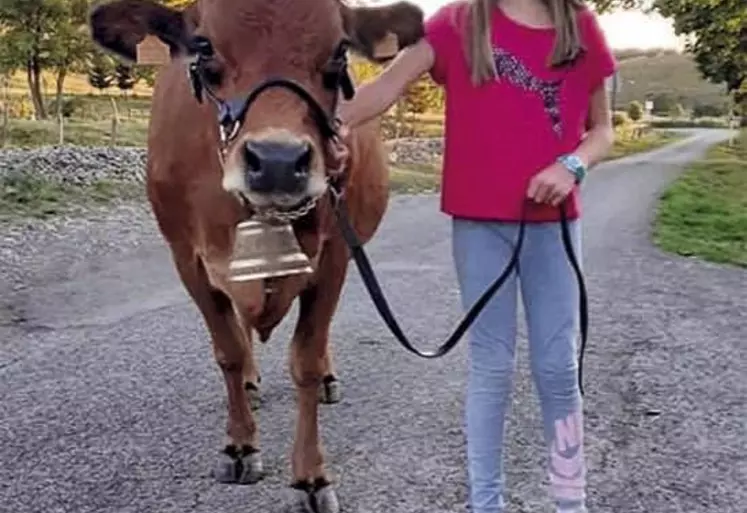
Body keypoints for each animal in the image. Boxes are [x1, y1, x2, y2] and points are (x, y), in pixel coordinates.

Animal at [87, 0, 424, 508]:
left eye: (340, 52)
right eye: (204, 48)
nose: (278, 161)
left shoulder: (334, 257)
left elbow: (306, 357)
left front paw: (311, 476)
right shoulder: (188, 258)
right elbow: (226, 349)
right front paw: (240, 444)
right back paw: (249, 381)